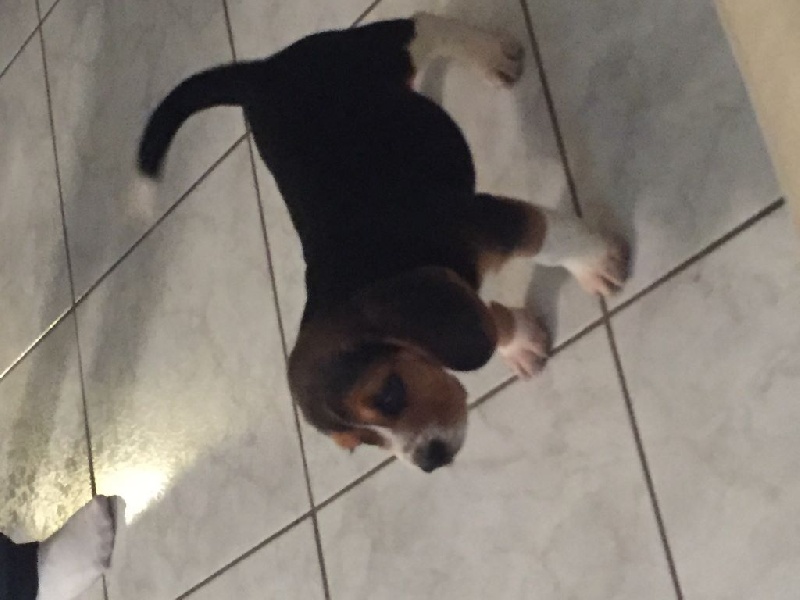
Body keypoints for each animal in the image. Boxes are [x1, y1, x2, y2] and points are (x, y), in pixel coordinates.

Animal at [137, 13, 628, 473]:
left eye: (389, 394)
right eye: (364, 444)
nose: (428, 460)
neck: (369, 273)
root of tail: (260, 72)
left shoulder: (492, 221)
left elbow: (558, 238)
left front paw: (597, 266)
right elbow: (493, 319)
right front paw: (520, 343)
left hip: (374, 50)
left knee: (424, 25)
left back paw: (491, 56)